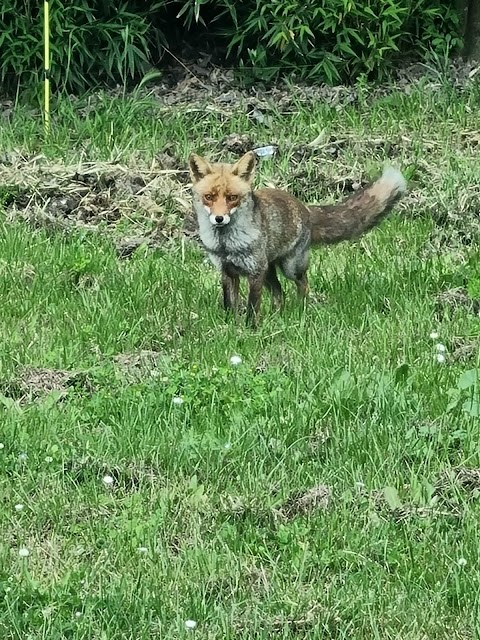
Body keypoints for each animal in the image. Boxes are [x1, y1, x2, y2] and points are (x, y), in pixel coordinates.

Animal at [188, 152, 404, 328]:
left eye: (232, 197)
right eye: (209, 197)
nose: (219, 218)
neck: (226, 244)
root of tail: (305, 207)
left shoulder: (255, 271)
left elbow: (253, 305)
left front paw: (251, 328)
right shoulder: (227, 271)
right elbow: (228, 303)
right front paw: (230, 326)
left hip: (290, 268)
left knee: (303, 284)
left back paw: (302, 309)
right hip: (269, 272)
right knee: (280, 293)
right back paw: (278, 316)